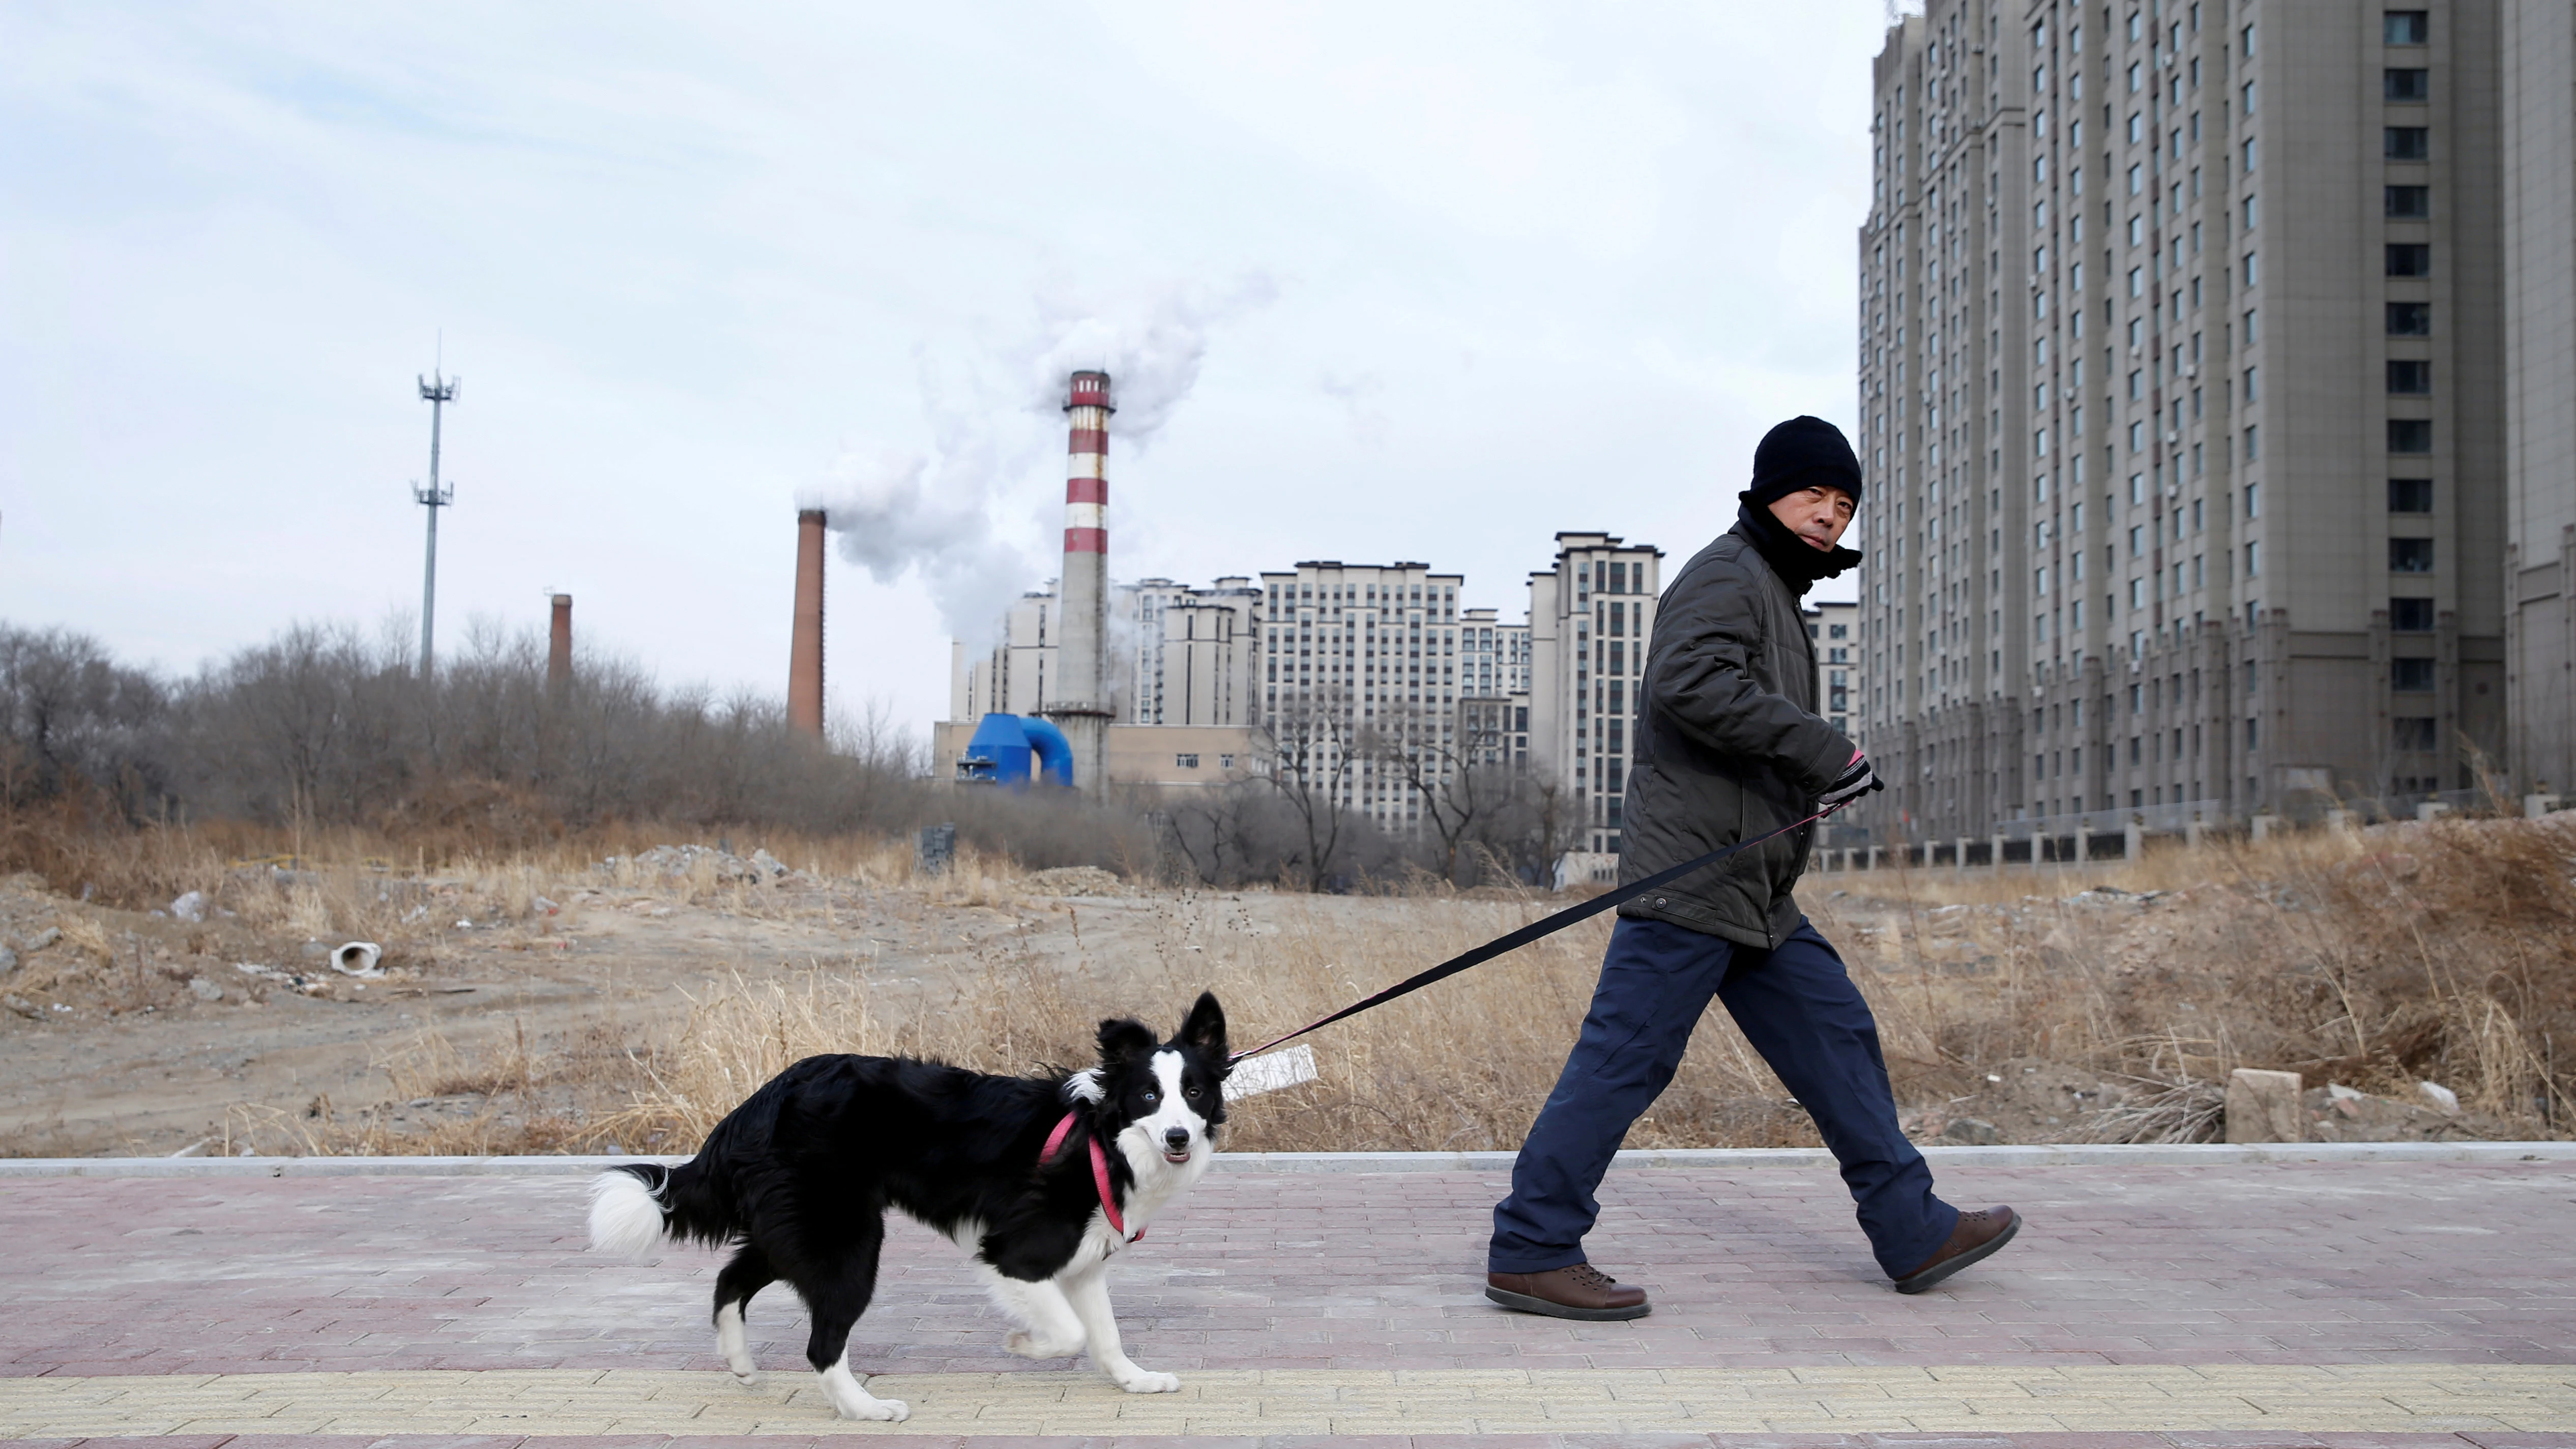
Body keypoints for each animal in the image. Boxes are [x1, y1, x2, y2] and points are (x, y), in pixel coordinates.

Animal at [590, 993, 1231, 1421]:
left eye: (1194, 1092)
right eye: (1148, 1095)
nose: (1178, 1136)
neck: (1104, 1137)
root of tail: (763, 1098)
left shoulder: (1084, 1258)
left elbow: (1105, 1333)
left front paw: (1136, 1380)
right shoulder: (1015, 1253)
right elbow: (1071, 1331)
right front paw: (1024, 1344)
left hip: (799, 1230)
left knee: (730, 1279)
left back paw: (742, 1362)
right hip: (848, 1243)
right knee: (821, 1343)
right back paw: (865, 1409)